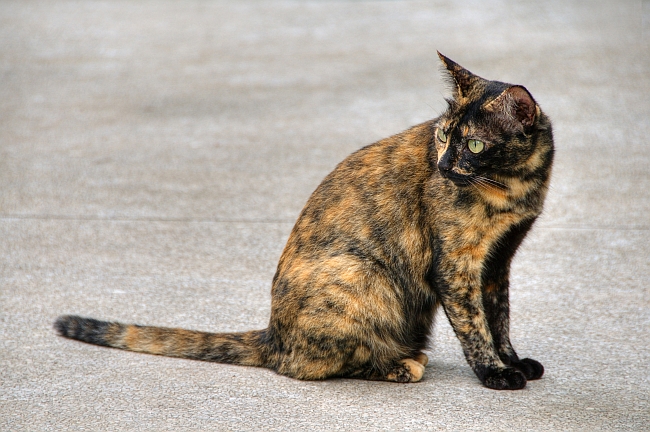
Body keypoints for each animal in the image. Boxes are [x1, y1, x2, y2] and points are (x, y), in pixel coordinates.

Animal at [54, 52, 552, 390]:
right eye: (445, 135)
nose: (444, 165)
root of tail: (273, 334)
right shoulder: (456, 265)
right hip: (362, 275)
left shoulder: (498, 262)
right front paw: (494, 373)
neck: (516, 186)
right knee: (309, 365)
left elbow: (499, 318)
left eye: (474, 145)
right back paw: (401, 364)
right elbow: (474, 325)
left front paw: (512, 360)